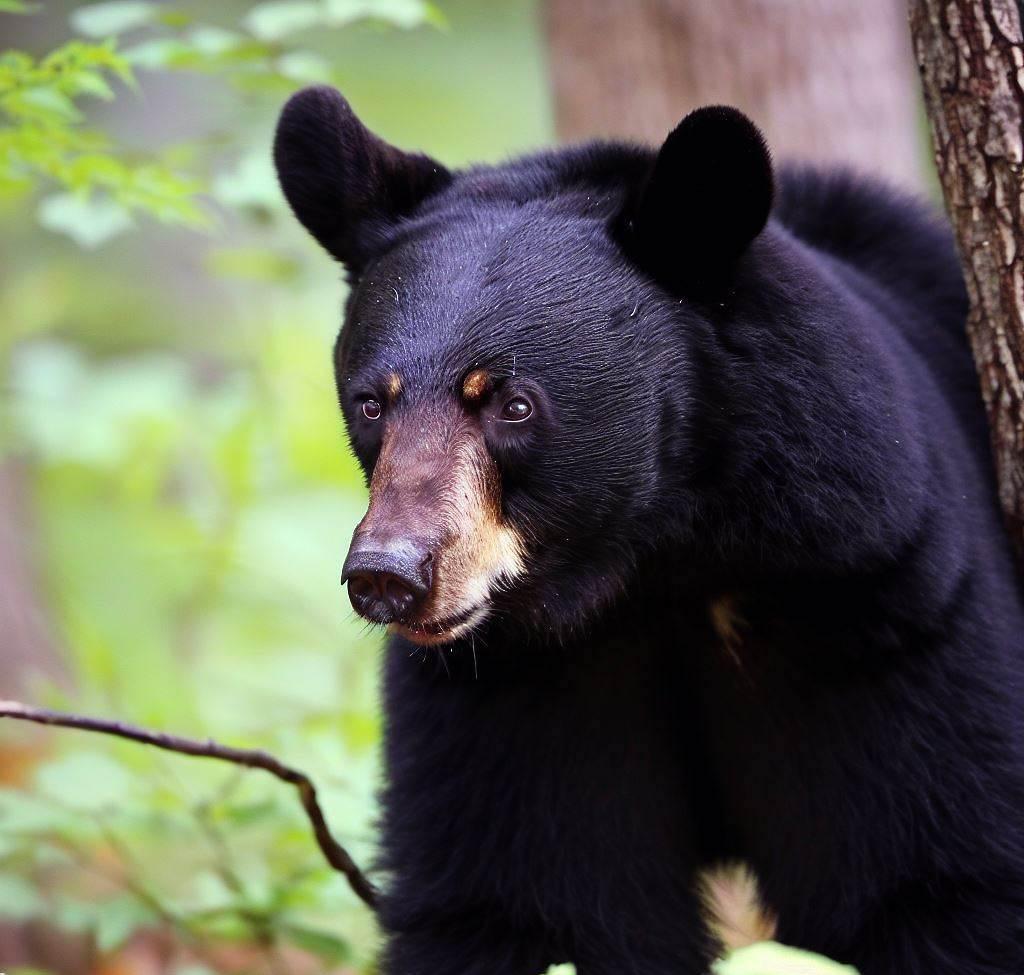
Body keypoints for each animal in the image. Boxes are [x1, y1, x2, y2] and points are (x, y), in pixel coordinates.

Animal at [273, 85, 1024, 975]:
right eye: (371, 403)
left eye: (513, 403)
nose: (388, 574)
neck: (663, 565)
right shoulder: (512, 688)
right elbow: (525, 897)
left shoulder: (877, 602)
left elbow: (929, 871)